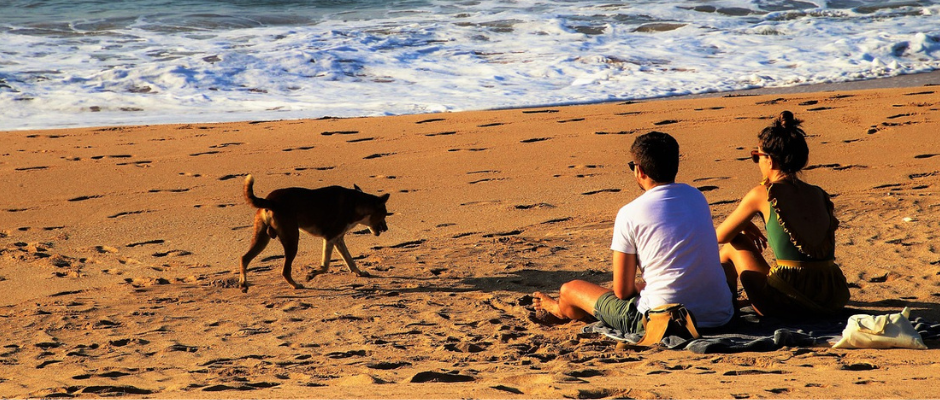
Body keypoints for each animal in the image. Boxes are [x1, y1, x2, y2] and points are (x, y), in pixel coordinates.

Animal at [242, 177, 392, 292]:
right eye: (384, 214)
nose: (386, 229)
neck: (356, 203)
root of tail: (270, 201)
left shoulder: (338, 239)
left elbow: (350, 261)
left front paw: (360, 273)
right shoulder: (330, 237)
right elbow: (325, 266)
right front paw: (312, 274)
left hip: (262, 239)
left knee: (244, 258)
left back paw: (243, 284)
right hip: (292, 240)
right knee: (285, 270)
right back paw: (296, 285)